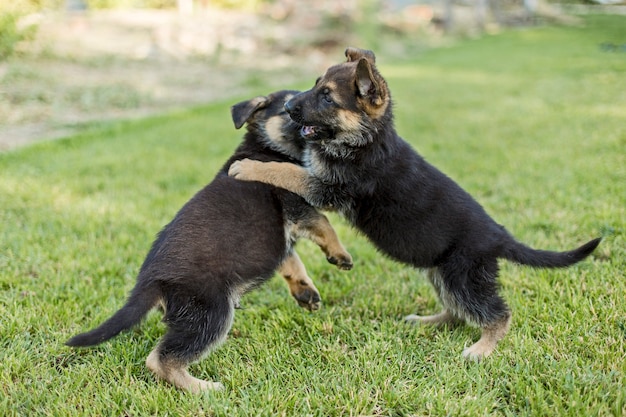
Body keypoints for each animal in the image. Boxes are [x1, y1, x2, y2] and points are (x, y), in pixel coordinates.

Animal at [69, 89, 354, 392]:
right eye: (288, 108)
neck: (264, 147)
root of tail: (149, 282)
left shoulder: (278, 235)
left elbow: (291, 261)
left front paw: (305, 291)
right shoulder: (297, 207)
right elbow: (324, 225)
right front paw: (341, 255)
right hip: (211, 312)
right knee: (161, 360)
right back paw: (205, 389)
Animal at [228, 47, 600, 360]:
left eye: (327, 96)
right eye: (315, 85)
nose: (289, 109)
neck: (367, 139)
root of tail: (499, 235)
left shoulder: (331, 189)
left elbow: (288, 171)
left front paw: (249, 166)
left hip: (464, 276)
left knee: (496, 313)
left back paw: (482, 349)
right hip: (442, 272)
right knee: (456, 311)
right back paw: (427, 322)